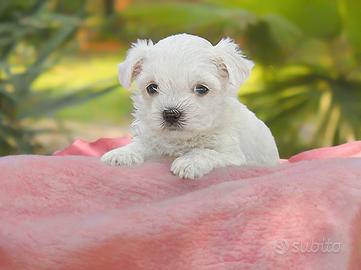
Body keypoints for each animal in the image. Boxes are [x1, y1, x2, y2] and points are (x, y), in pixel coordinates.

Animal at [100, 33, 278, 179]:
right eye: (152, 87)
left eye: (202, 89)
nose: (171, 114)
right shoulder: (153, 142)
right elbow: (140, 145)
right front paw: (121, 153)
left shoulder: (232, 155)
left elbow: (206, 151)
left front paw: (188, 162)